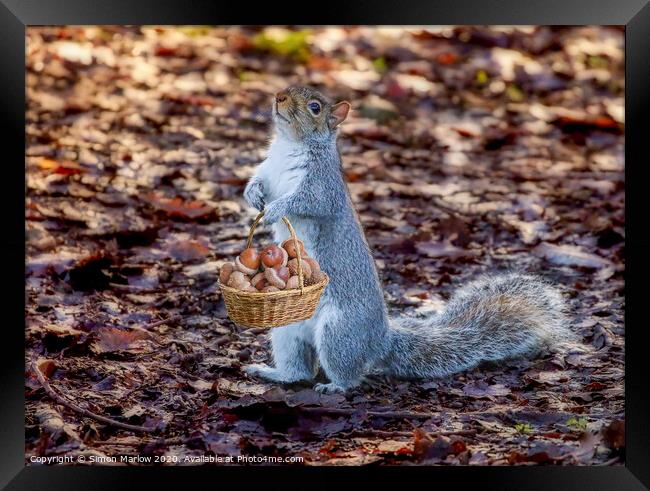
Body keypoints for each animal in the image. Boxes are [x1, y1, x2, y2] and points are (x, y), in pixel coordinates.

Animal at [240, 83, 568, 392]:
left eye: (315, 107)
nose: (279, 96)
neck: (288, 145)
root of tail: (381, 340)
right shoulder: (269, 170)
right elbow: (259, 182)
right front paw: (252, 194)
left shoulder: (322, 186)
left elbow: (307, 202)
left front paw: (276, 209)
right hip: (286, 330)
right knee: (299, 371)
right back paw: (271, 372)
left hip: (339, 332)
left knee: (349, 373)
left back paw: (334, 386)